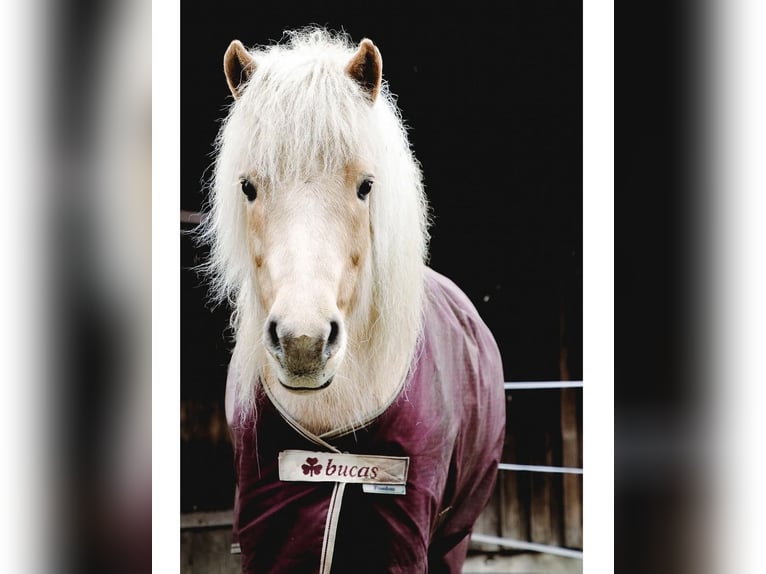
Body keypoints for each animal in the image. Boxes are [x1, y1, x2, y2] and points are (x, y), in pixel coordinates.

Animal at [197, 27, 505, 573]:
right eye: (248, 187)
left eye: (366, 186)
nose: (302, 343)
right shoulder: (268, 530)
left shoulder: (402, 538)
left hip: (454, 534)